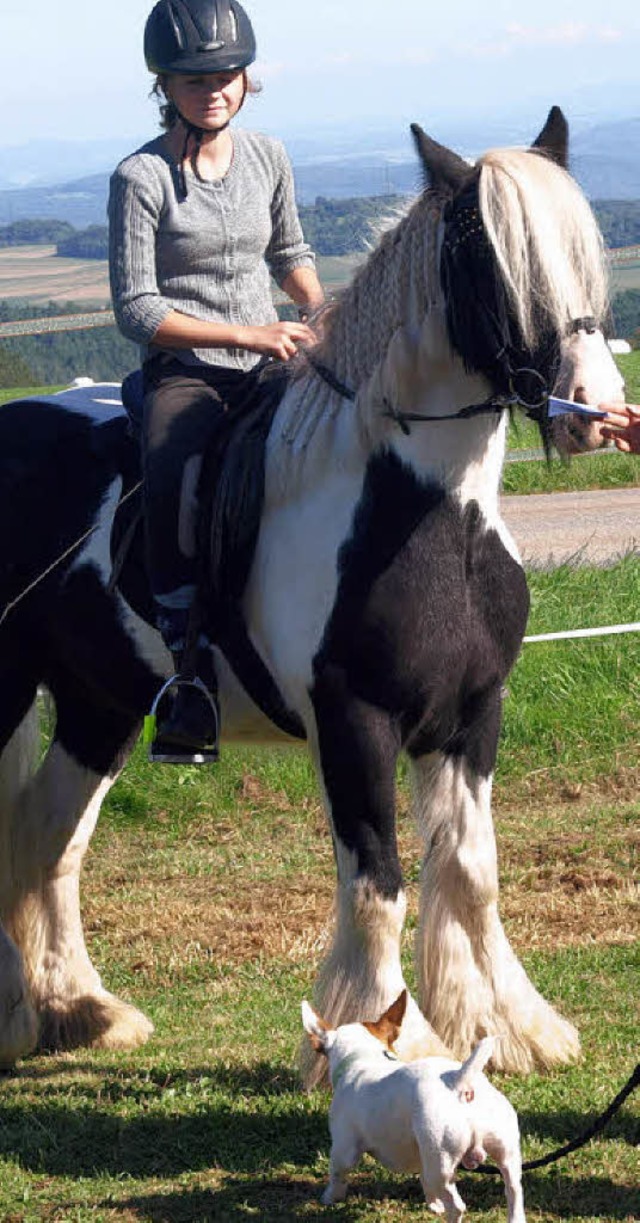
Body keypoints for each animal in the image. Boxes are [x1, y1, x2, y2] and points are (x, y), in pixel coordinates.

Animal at [0, 107, 624, 1081]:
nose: (594, 408)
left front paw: (514, 1027)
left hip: (103, 702)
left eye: (579, 252)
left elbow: (471, 872)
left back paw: (79, 1010)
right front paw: (385, 1039)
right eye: (490, 263)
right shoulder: (354, 719)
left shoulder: (472, 714)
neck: (424, 510)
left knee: (48, 835)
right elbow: (378, 884)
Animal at [303, 988, 528, 1218]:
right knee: (513, 1190)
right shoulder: (422, 1157)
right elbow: (424, 1181)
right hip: (506, 1156)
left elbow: (337, 1174)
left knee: (457, 1205)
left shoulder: (343, 1148)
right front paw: (434, 1205)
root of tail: (459, 1081)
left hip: (441, 1163)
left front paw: (329, 1199)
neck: (362, 1058)